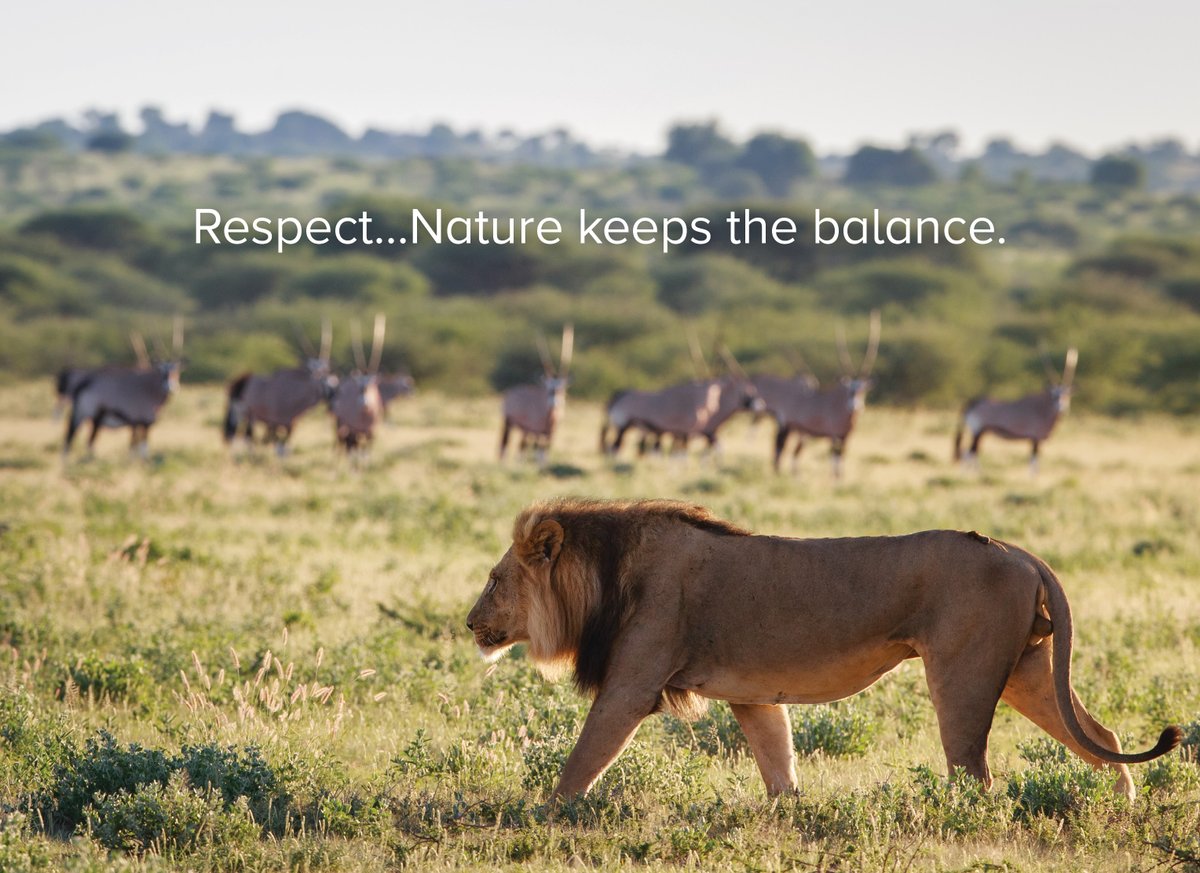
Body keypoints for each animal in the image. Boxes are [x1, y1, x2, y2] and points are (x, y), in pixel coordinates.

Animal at [466, 498, 1182, 801]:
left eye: (495, 579)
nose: (469, 623)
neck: (607, 572)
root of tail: (1018, 550)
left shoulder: (631, 684)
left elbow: (581, 760)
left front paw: (539, 816)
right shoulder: (752, 696)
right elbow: (777, 759)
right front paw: (789, 815)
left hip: (964, 671)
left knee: (973, 769)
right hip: (1026, 670)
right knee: (1101, 732)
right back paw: (1121, 806)